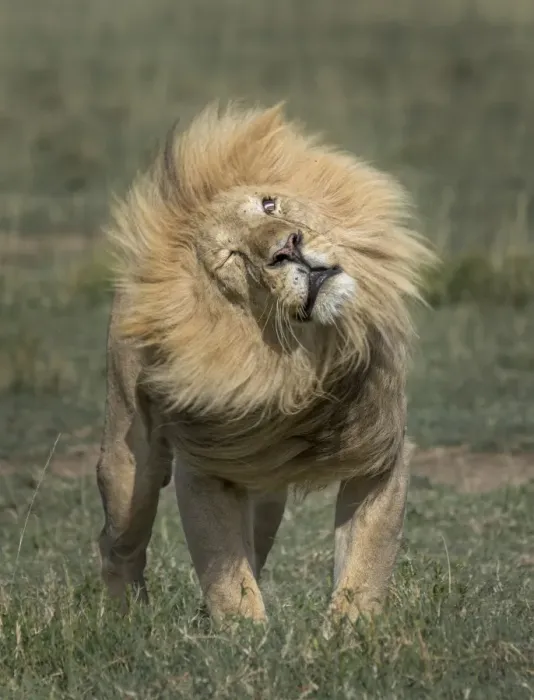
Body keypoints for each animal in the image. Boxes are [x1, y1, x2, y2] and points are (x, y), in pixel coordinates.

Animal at [96, 101, 435, 626]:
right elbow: (228, 579)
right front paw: (246, 638)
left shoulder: (381, 458)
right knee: (120, 540)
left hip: (266, 493)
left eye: (269, 206)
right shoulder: (203, 471)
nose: (288, 247)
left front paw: (348, 634)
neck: (303, 367)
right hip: (129, 462)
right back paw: (125, 618)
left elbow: (366, 566)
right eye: (234, 256)